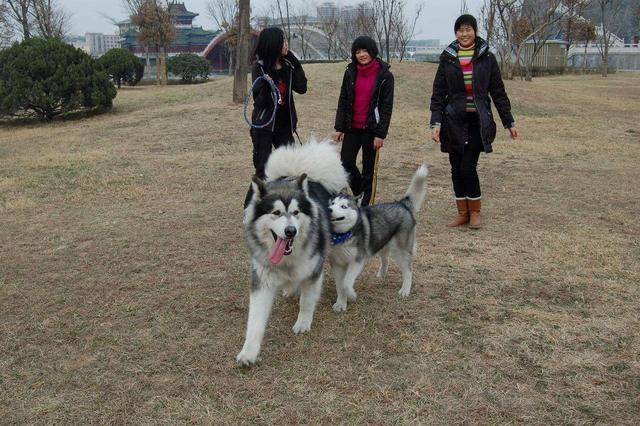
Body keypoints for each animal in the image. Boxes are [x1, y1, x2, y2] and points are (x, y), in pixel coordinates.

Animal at [238, 141, 348, 366]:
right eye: (276, 213)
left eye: (296, 213)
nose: (291, 231)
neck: (286, 259)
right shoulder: (262, 280)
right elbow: (255, 320)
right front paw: (249, 352)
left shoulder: (313, 270)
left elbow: (306, 300)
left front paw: (303, 322)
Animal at [328, 165, 428, 312]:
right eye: (332, 203)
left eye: (343, 206)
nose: (329, 209)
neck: (342, 235)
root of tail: (402, 204)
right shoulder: (337, 264)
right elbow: (340, 286)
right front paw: (340, 304)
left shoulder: (357, 261)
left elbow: (346, 283)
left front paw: (351, 295)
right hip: (382, 243)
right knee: (385, 259)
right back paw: (381, 275)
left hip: (401, 252)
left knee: (408, 271)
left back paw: (405, 290)